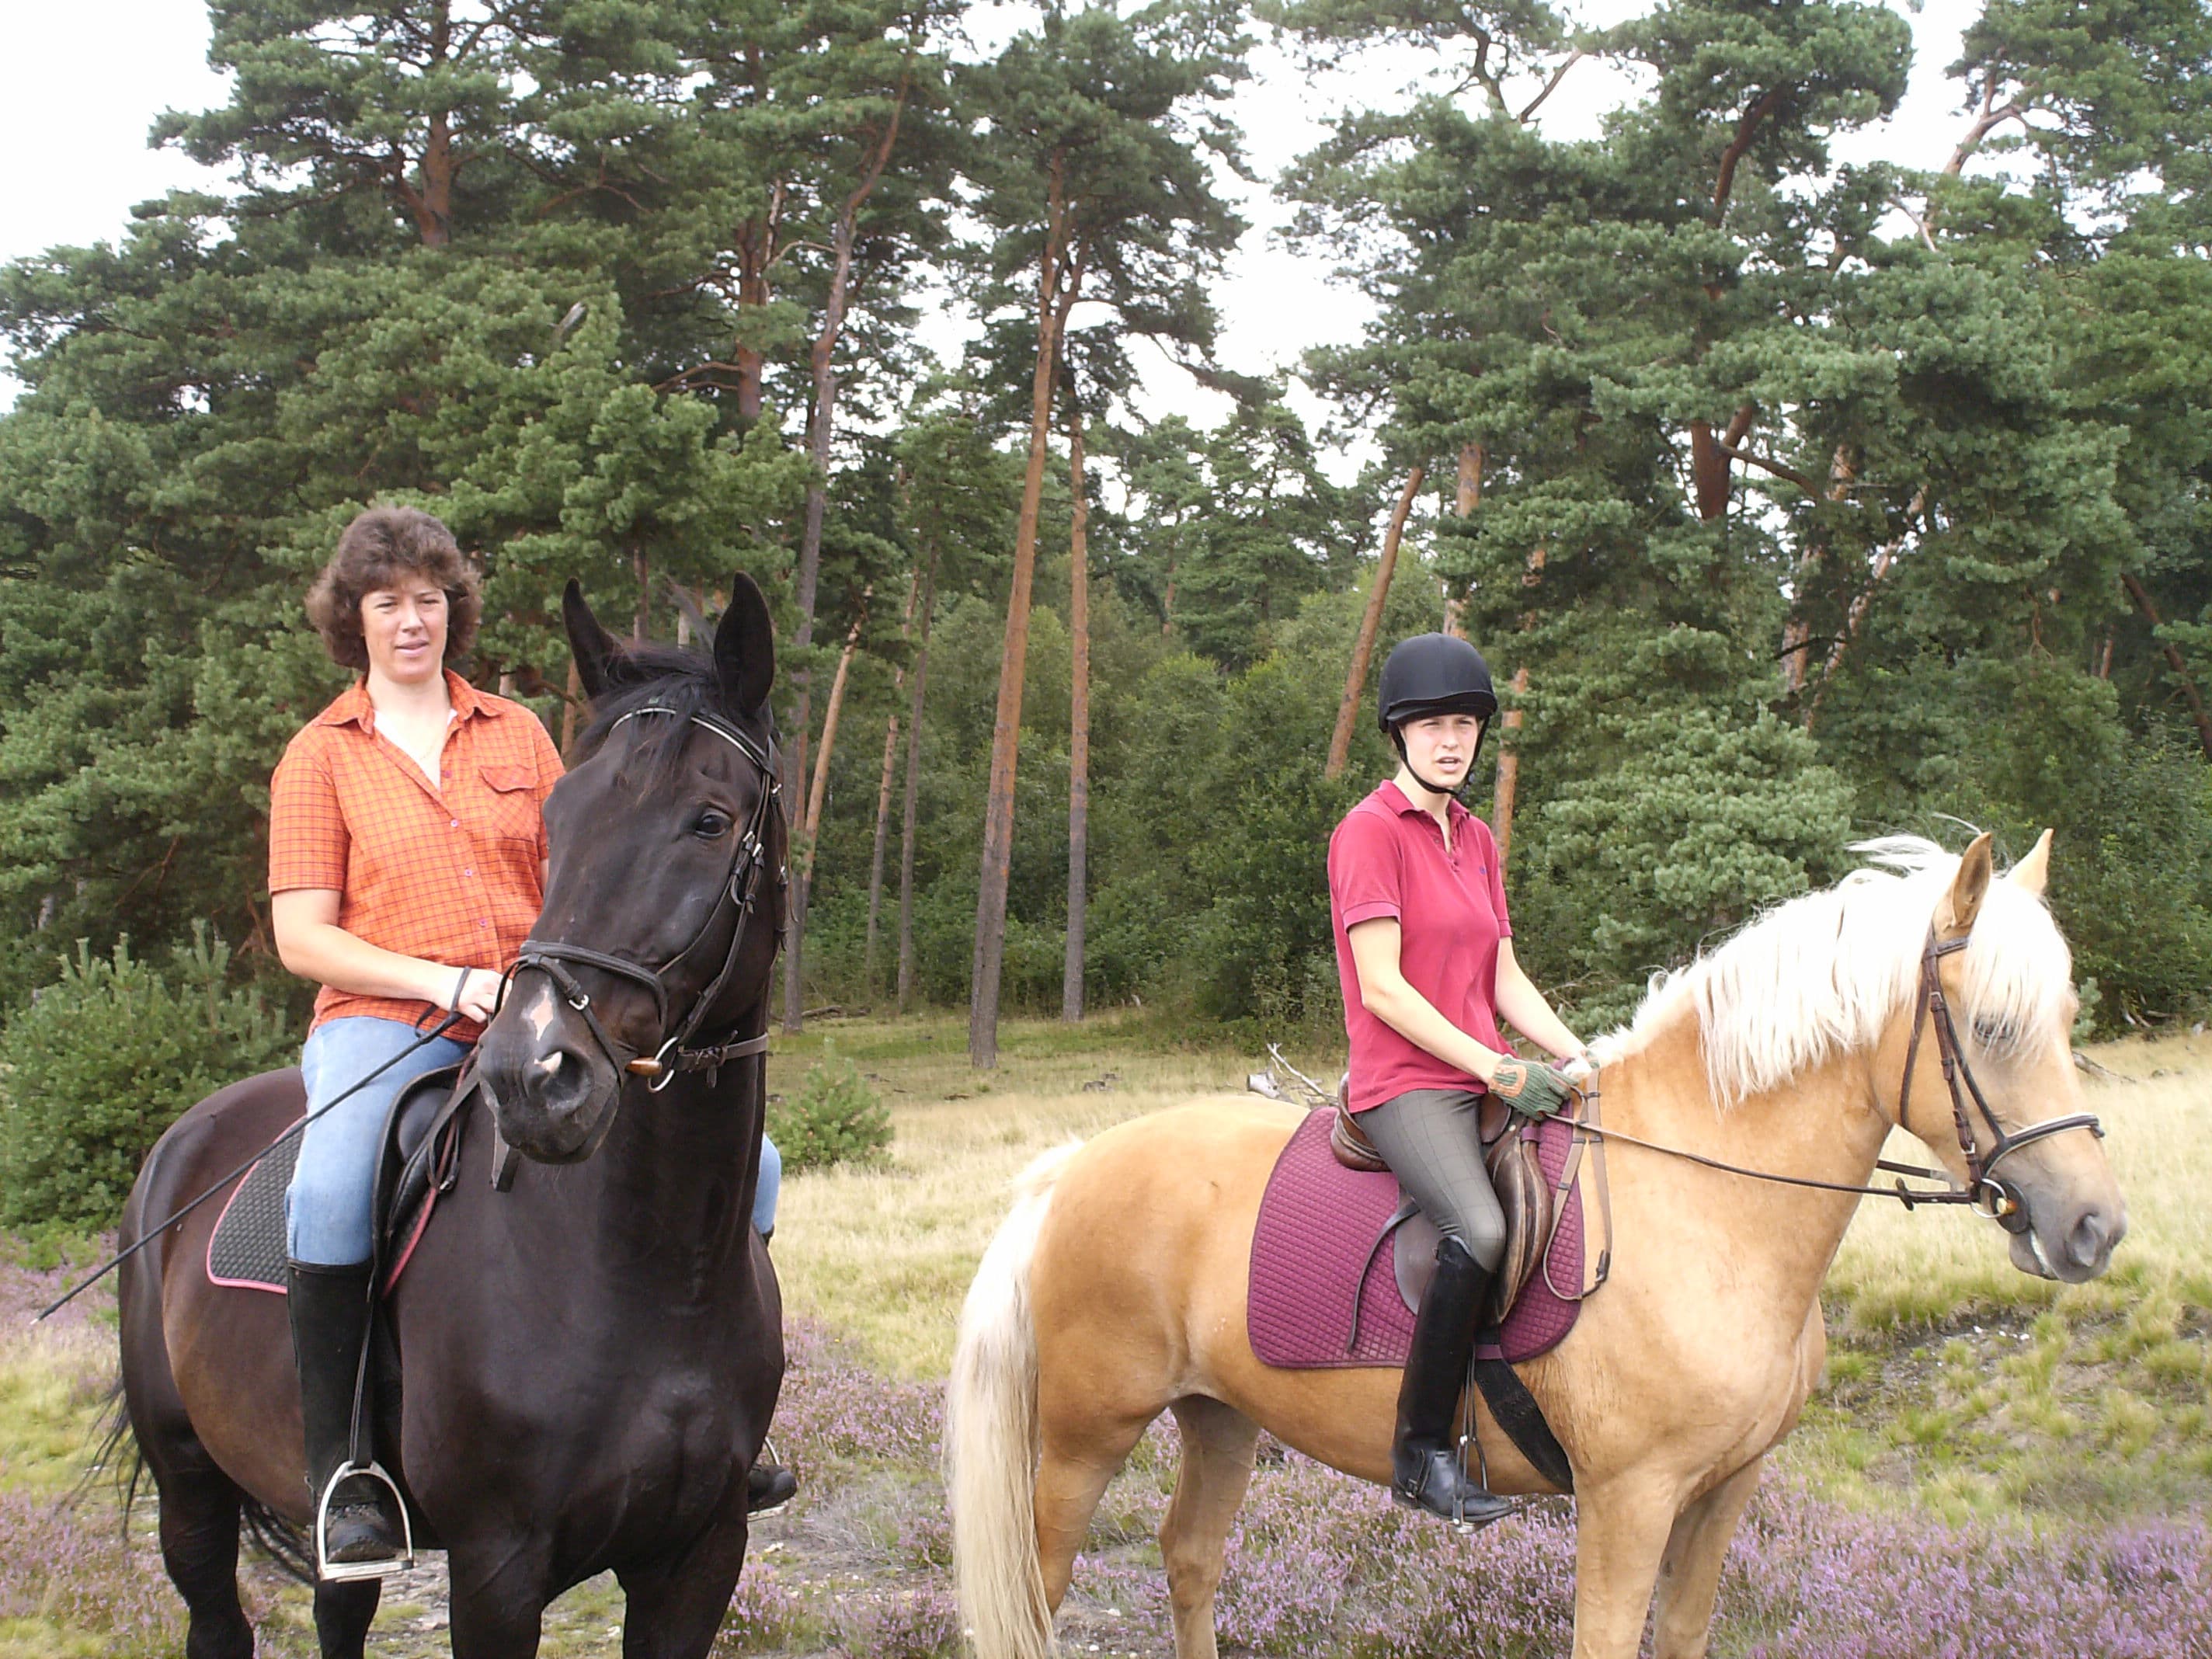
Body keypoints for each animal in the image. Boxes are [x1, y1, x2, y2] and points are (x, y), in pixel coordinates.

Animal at [117, 579, 796, 1654]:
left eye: (709, 819)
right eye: (558, 815)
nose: (535, 1073)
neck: (647, 1275)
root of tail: (180, 1146)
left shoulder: (699, 1556)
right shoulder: (497, 1570)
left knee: (339, 1610)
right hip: (190, 1488)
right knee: (216, 1615)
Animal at [951, 836, 2123, 1659]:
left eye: (2069, 1016)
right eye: (1991, 1028)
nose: (2094, 1228)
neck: (1704, 1202)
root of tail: (1075, 1166)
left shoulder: (1724, 1491)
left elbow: (1683, 1632)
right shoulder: (1627, 1501)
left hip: (1220, 1415)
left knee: (1189, 1561)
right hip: (1086, 1435)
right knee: (1043, 1590)